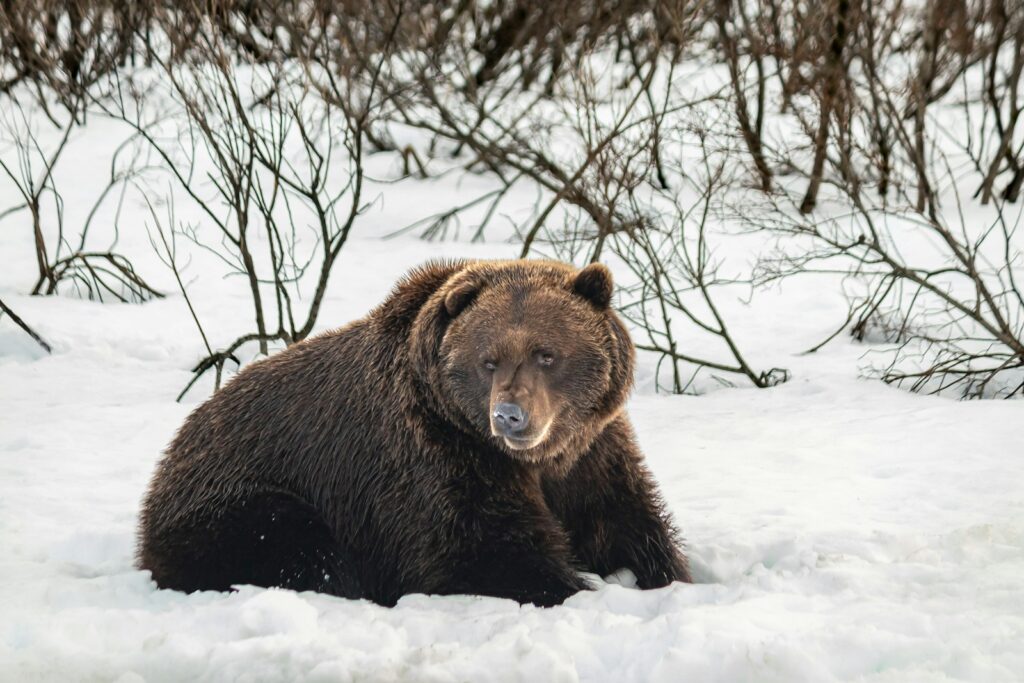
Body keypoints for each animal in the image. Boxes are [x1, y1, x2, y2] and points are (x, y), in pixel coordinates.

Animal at [137, 259, 691, 606]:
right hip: (240, 500)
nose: (510, 415)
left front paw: (667, 577)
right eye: (488, 360)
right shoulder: (435, 458)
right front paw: (572, 587)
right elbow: (482, 551)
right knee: (299, 546)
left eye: (546, 353)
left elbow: (628, 523)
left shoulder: (591, 453)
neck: (534, 460)